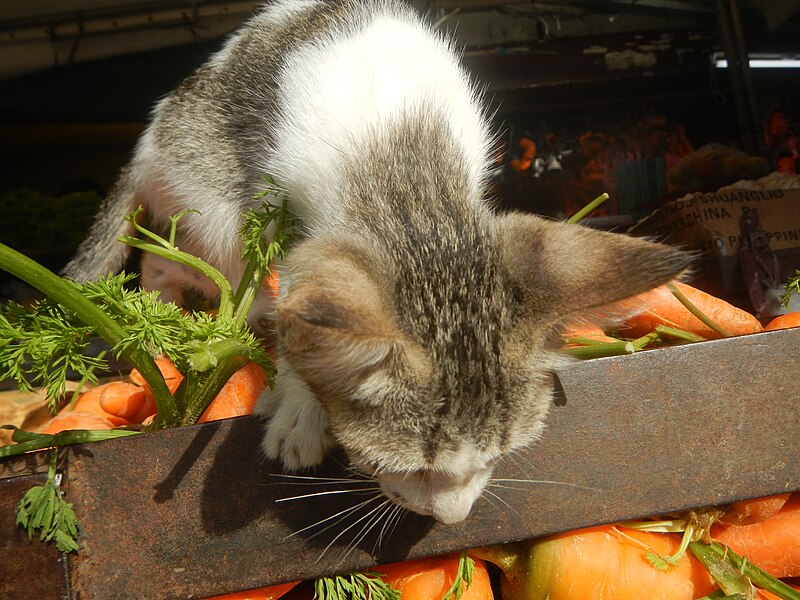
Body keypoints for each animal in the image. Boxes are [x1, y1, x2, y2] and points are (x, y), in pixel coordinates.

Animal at [62, 0, 692, 524]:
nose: (451, 520)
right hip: (211, 191)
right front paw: (301, 408)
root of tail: (151, 137)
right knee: (205, 262)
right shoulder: (298, 225)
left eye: (499, 455)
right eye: (412, 468)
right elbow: (300, 301)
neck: (407, 168)